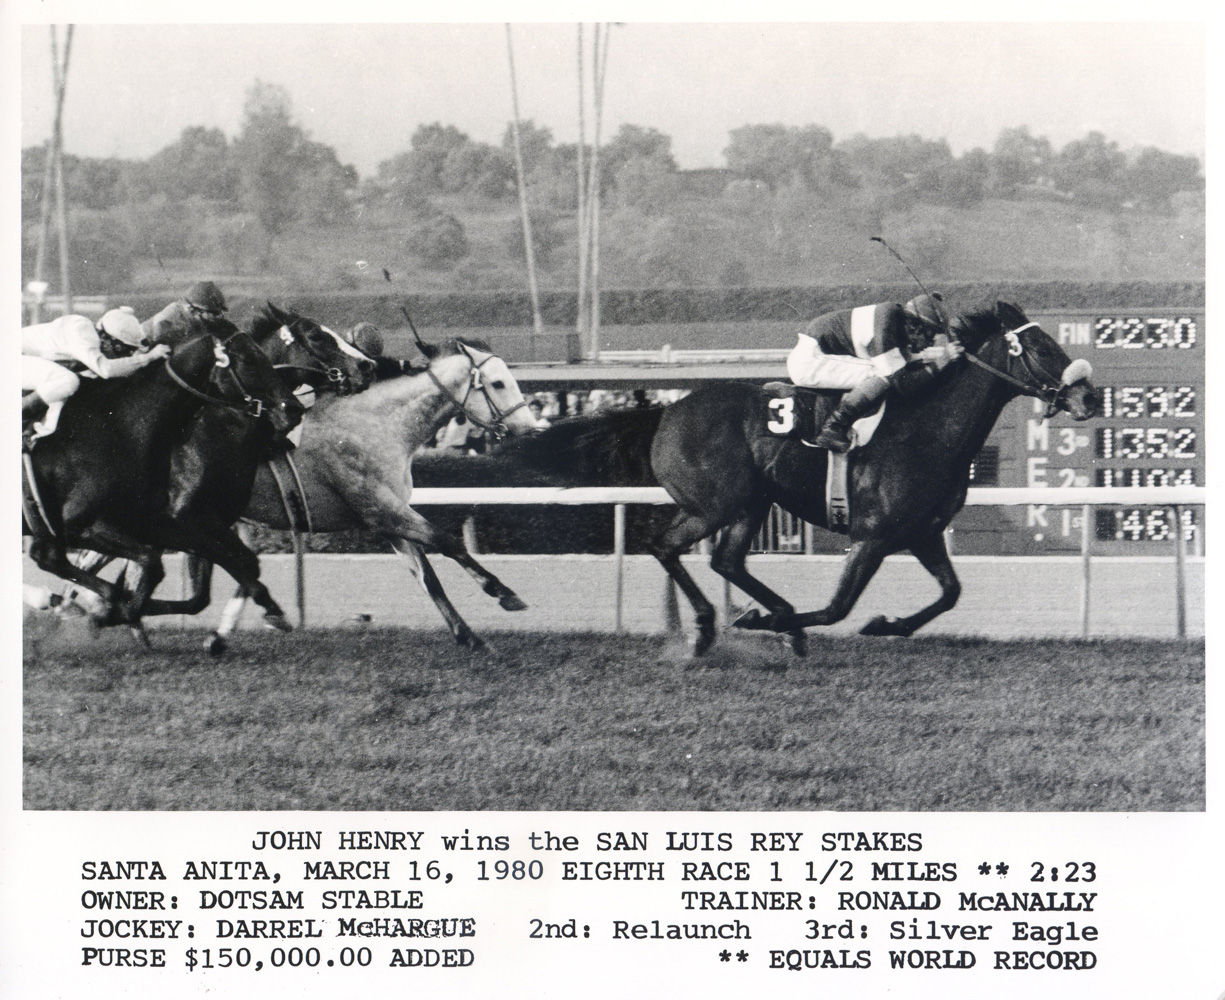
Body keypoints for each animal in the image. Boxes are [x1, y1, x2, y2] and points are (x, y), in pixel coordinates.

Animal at [512, 299, 1097, 656]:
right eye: (1042, 348)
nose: (1088, 397)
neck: (930, 431)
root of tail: (665, 410)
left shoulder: (924, 533)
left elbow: (950, 593)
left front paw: (888, 625)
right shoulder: (872, 536)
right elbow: (839, 607)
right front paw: (778, 624)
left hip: (748, 503)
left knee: (725, 559)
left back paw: (768, 618)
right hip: (715, 503)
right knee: (666, 545)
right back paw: (713, 627)